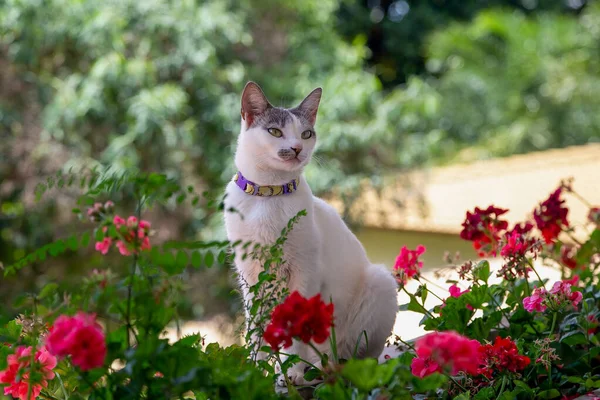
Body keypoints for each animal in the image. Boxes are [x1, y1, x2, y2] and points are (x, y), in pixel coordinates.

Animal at [223, 83, 396, 386]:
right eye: (275, 132)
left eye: (306, 134)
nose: (297, 148)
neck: (269, 194)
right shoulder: (251, 277)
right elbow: (255, 329)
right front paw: (254, 371)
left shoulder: (304, 271)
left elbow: (295, 331)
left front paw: (291, 372)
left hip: (380, 283)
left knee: (359, 355)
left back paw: (317, 367)